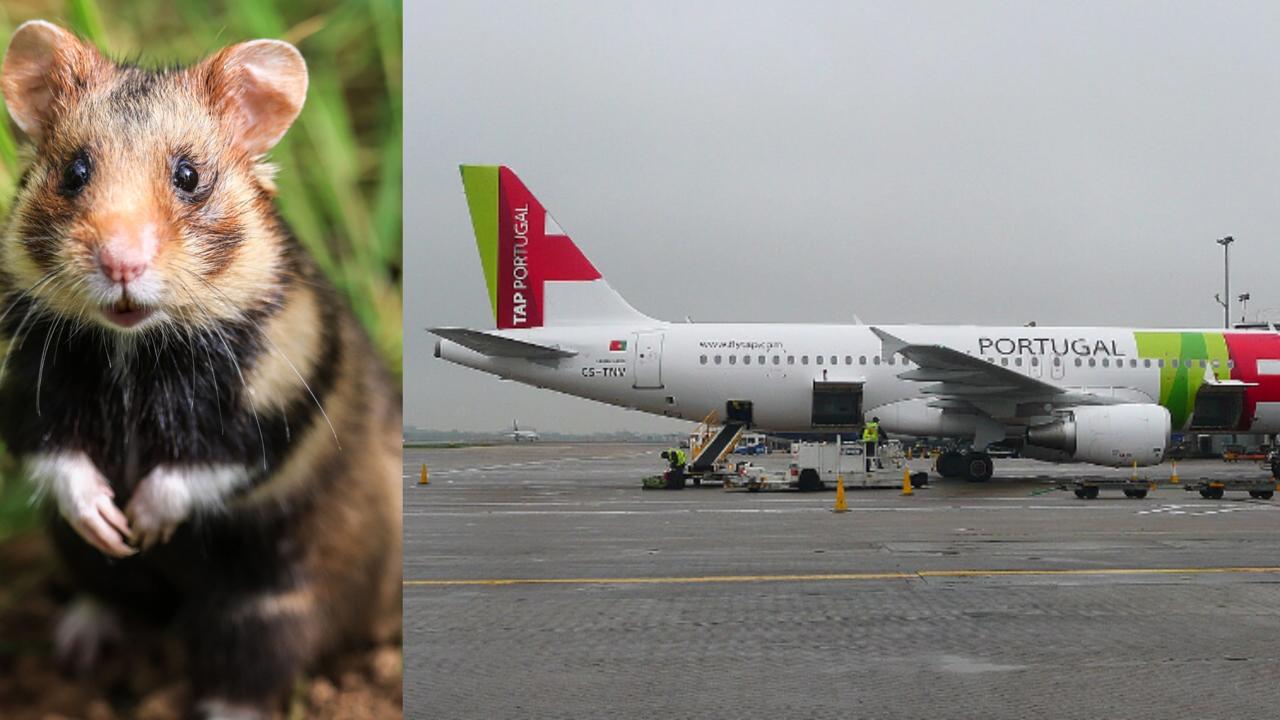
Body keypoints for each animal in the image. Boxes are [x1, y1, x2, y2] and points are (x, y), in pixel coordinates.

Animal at [0, 19, 401, 712]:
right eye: (75, 171)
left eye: (188, 175)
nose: (122, 263)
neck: (132, 347)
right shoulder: (29, 379)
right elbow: (54, 454)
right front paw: (113, 526)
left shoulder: (280, 394)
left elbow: (209, 462)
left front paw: (142, 523)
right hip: (70, 551)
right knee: (109, 592)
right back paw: (77, 644)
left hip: (268, 612)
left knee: (246, 674)